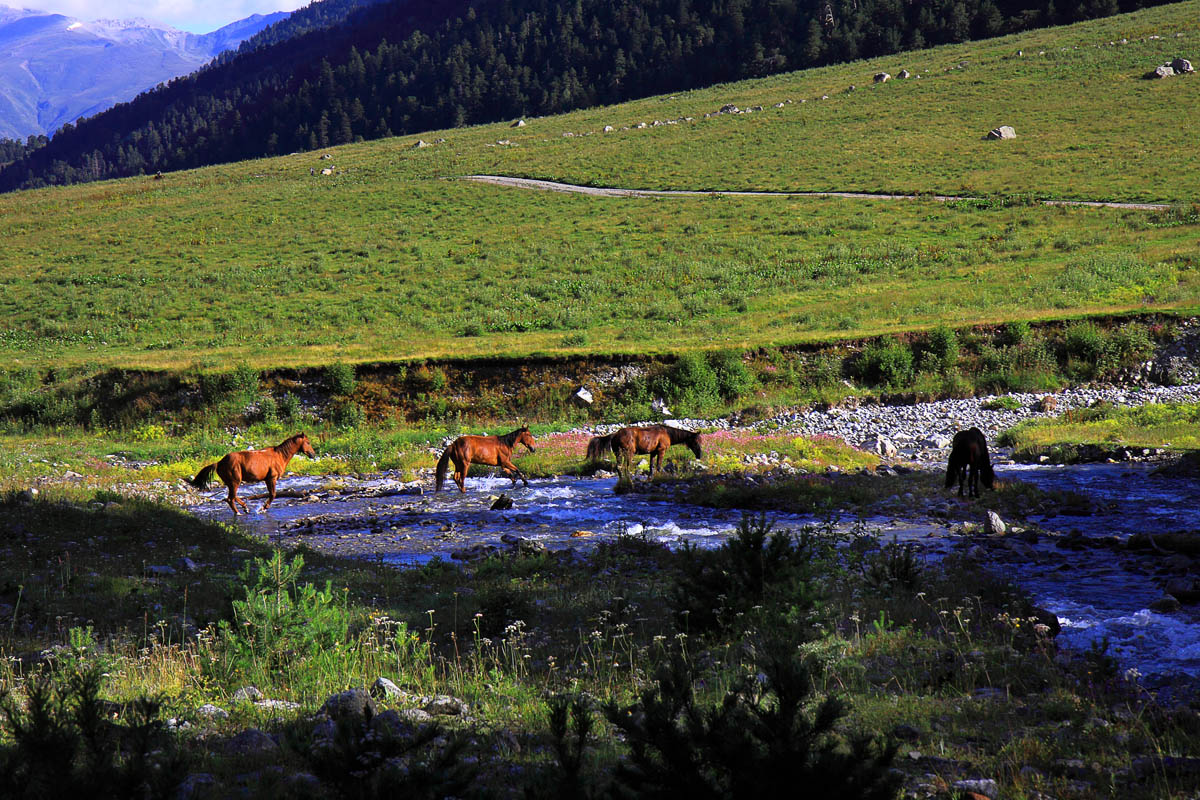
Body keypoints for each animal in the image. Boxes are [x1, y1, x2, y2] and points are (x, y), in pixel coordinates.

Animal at [188, 431, 316, 513]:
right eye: (308, 442)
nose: (313, 454)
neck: (279, 455)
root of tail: (219, 463)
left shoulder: (267, 480)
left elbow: (271, 494)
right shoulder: (272, 478)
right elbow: (273, 494)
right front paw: (264, 507)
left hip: (231, 483)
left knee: (232, 497)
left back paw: (245, 508)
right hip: (235, 482)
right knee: (230, 498)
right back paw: (239, 512)